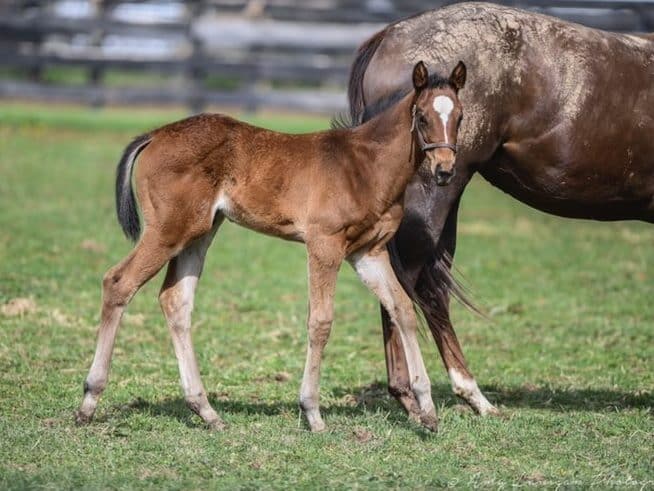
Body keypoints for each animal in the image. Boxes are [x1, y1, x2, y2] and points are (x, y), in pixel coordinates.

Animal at [75, 59, 466, 432]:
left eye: (460, 117)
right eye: (422, 116)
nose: (445, 170)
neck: (364, 166)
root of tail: (155, 134)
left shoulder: (367, 252)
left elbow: (403, 309)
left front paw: (427, 411)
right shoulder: (324, 244)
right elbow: (320, 321)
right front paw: (312, 412)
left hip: (200, 231)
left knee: (175, 300)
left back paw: (206, 411)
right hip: (169, 230)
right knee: (118, 282)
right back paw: (89, 401)